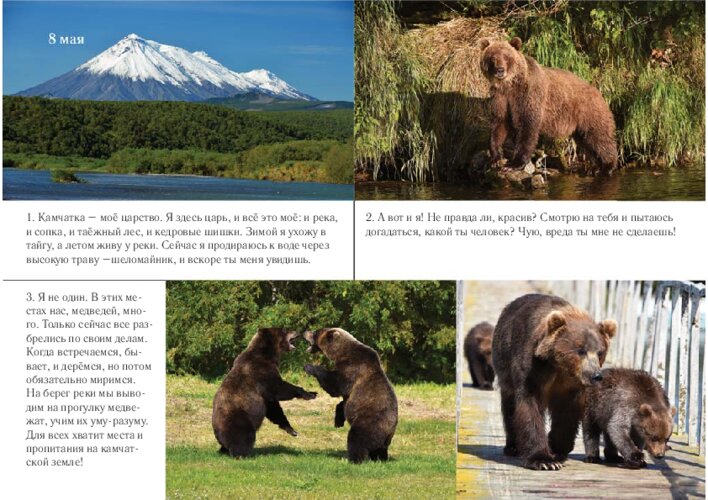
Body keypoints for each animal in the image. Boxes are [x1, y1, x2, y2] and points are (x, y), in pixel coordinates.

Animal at [212, 328, 317, 458]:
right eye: (285, 329)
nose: (297, 332)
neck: (268, 355)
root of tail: (216, 429)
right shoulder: (261, 373)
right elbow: (278, 389)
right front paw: (310, 394)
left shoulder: (265, 395)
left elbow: (274, 408)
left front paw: (292, 430)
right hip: (238, 418)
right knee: (243, 436)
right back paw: (242, 454)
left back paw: (224, 450)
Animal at [303, 327, 398, 463]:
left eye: (316, 332)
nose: (305, 332)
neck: (342, 353)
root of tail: (390, 431)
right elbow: (342, 400)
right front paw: (338, 420)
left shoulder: (353, 367)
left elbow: (336, 385)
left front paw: (309, 366)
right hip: (383, 439)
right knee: (379, 450)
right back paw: (380, 458)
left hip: (370, 421)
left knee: (356, 438)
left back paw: (353, 459)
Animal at [479, 37, 618, 174]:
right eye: (492, 58)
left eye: (507, 57)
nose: (500, 70)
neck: (510, 85)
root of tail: (597, 91)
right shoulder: (501, 98)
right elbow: (499, 123)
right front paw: (495, 158)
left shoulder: (528, 95)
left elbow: (526, 126)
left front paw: (514, 163)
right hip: (580, 124)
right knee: (587, 142)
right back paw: (595, 167)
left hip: (589, 111)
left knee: (599, 137)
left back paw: (608, 165)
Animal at [492, 293, 617, 470]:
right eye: (581, 350)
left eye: (600, 352)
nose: (596, 375)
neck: (559, 366)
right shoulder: (533, 370)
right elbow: (529, 406)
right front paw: (544, 460)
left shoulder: (570, 385)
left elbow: (566, 414)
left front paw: (556, 448)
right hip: (505, 367)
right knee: (509, 407)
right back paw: (513, 446)